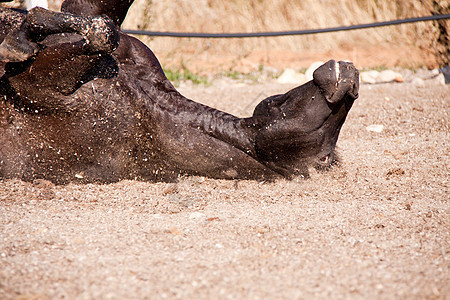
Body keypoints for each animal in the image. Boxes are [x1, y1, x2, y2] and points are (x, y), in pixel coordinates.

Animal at [0, 0, 358, 184]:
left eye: (324, 157)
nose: (351, 79)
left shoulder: (41, 88)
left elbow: (101, 32)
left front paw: (18, 40)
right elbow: (101, 19)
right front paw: (20, 29)